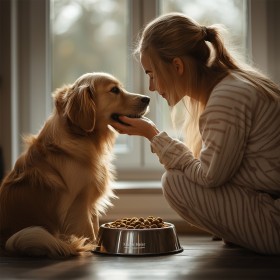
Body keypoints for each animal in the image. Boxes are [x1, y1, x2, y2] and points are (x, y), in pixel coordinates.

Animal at [0, 72, 151, 258]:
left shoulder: (90, 204)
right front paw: (92, 248)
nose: (147, 98)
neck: (81, 136)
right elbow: (89, 233)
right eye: (114, 90)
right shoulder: (78, 206)